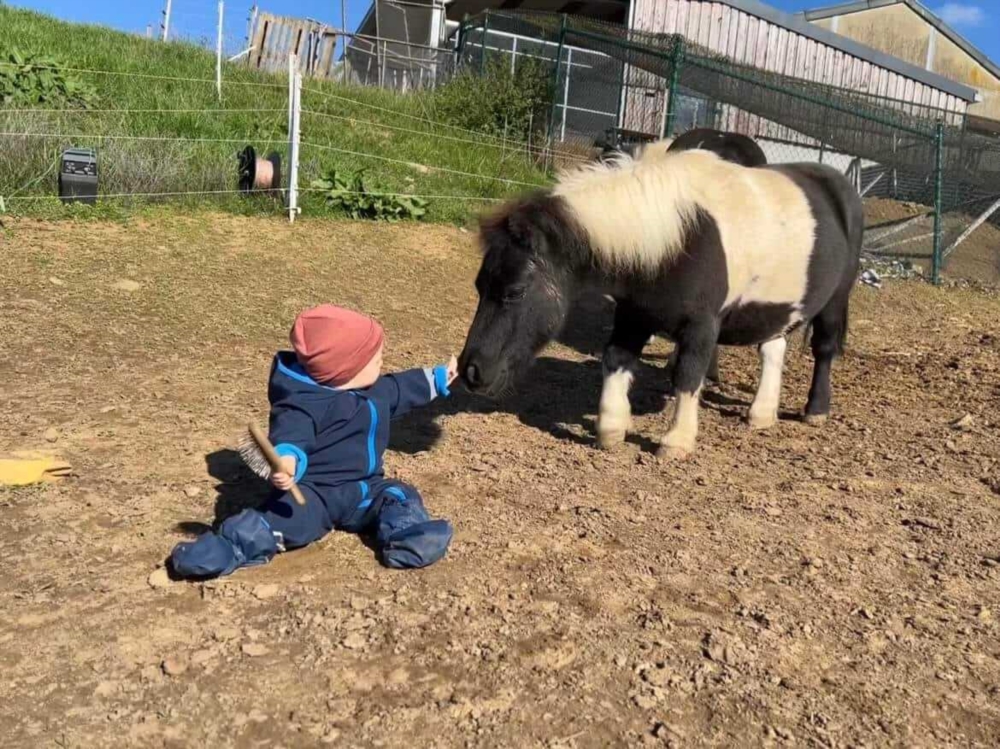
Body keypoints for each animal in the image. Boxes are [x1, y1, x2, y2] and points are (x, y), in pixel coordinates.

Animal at [458, 140, 864, 456]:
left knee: (824, 350)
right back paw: (761, 414)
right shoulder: (634, 316)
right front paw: (610, 428)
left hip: (834, 301)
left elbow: (687, 373)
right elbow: (615, 359)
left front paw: (676, 441)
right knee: (773, 349)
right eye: (479, 286)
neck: (680, 237)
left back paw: (815, 410)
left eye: (515, 291)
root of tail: (841, 186)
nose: (470, 371)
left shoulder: (702, 325)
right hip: (776, 308)